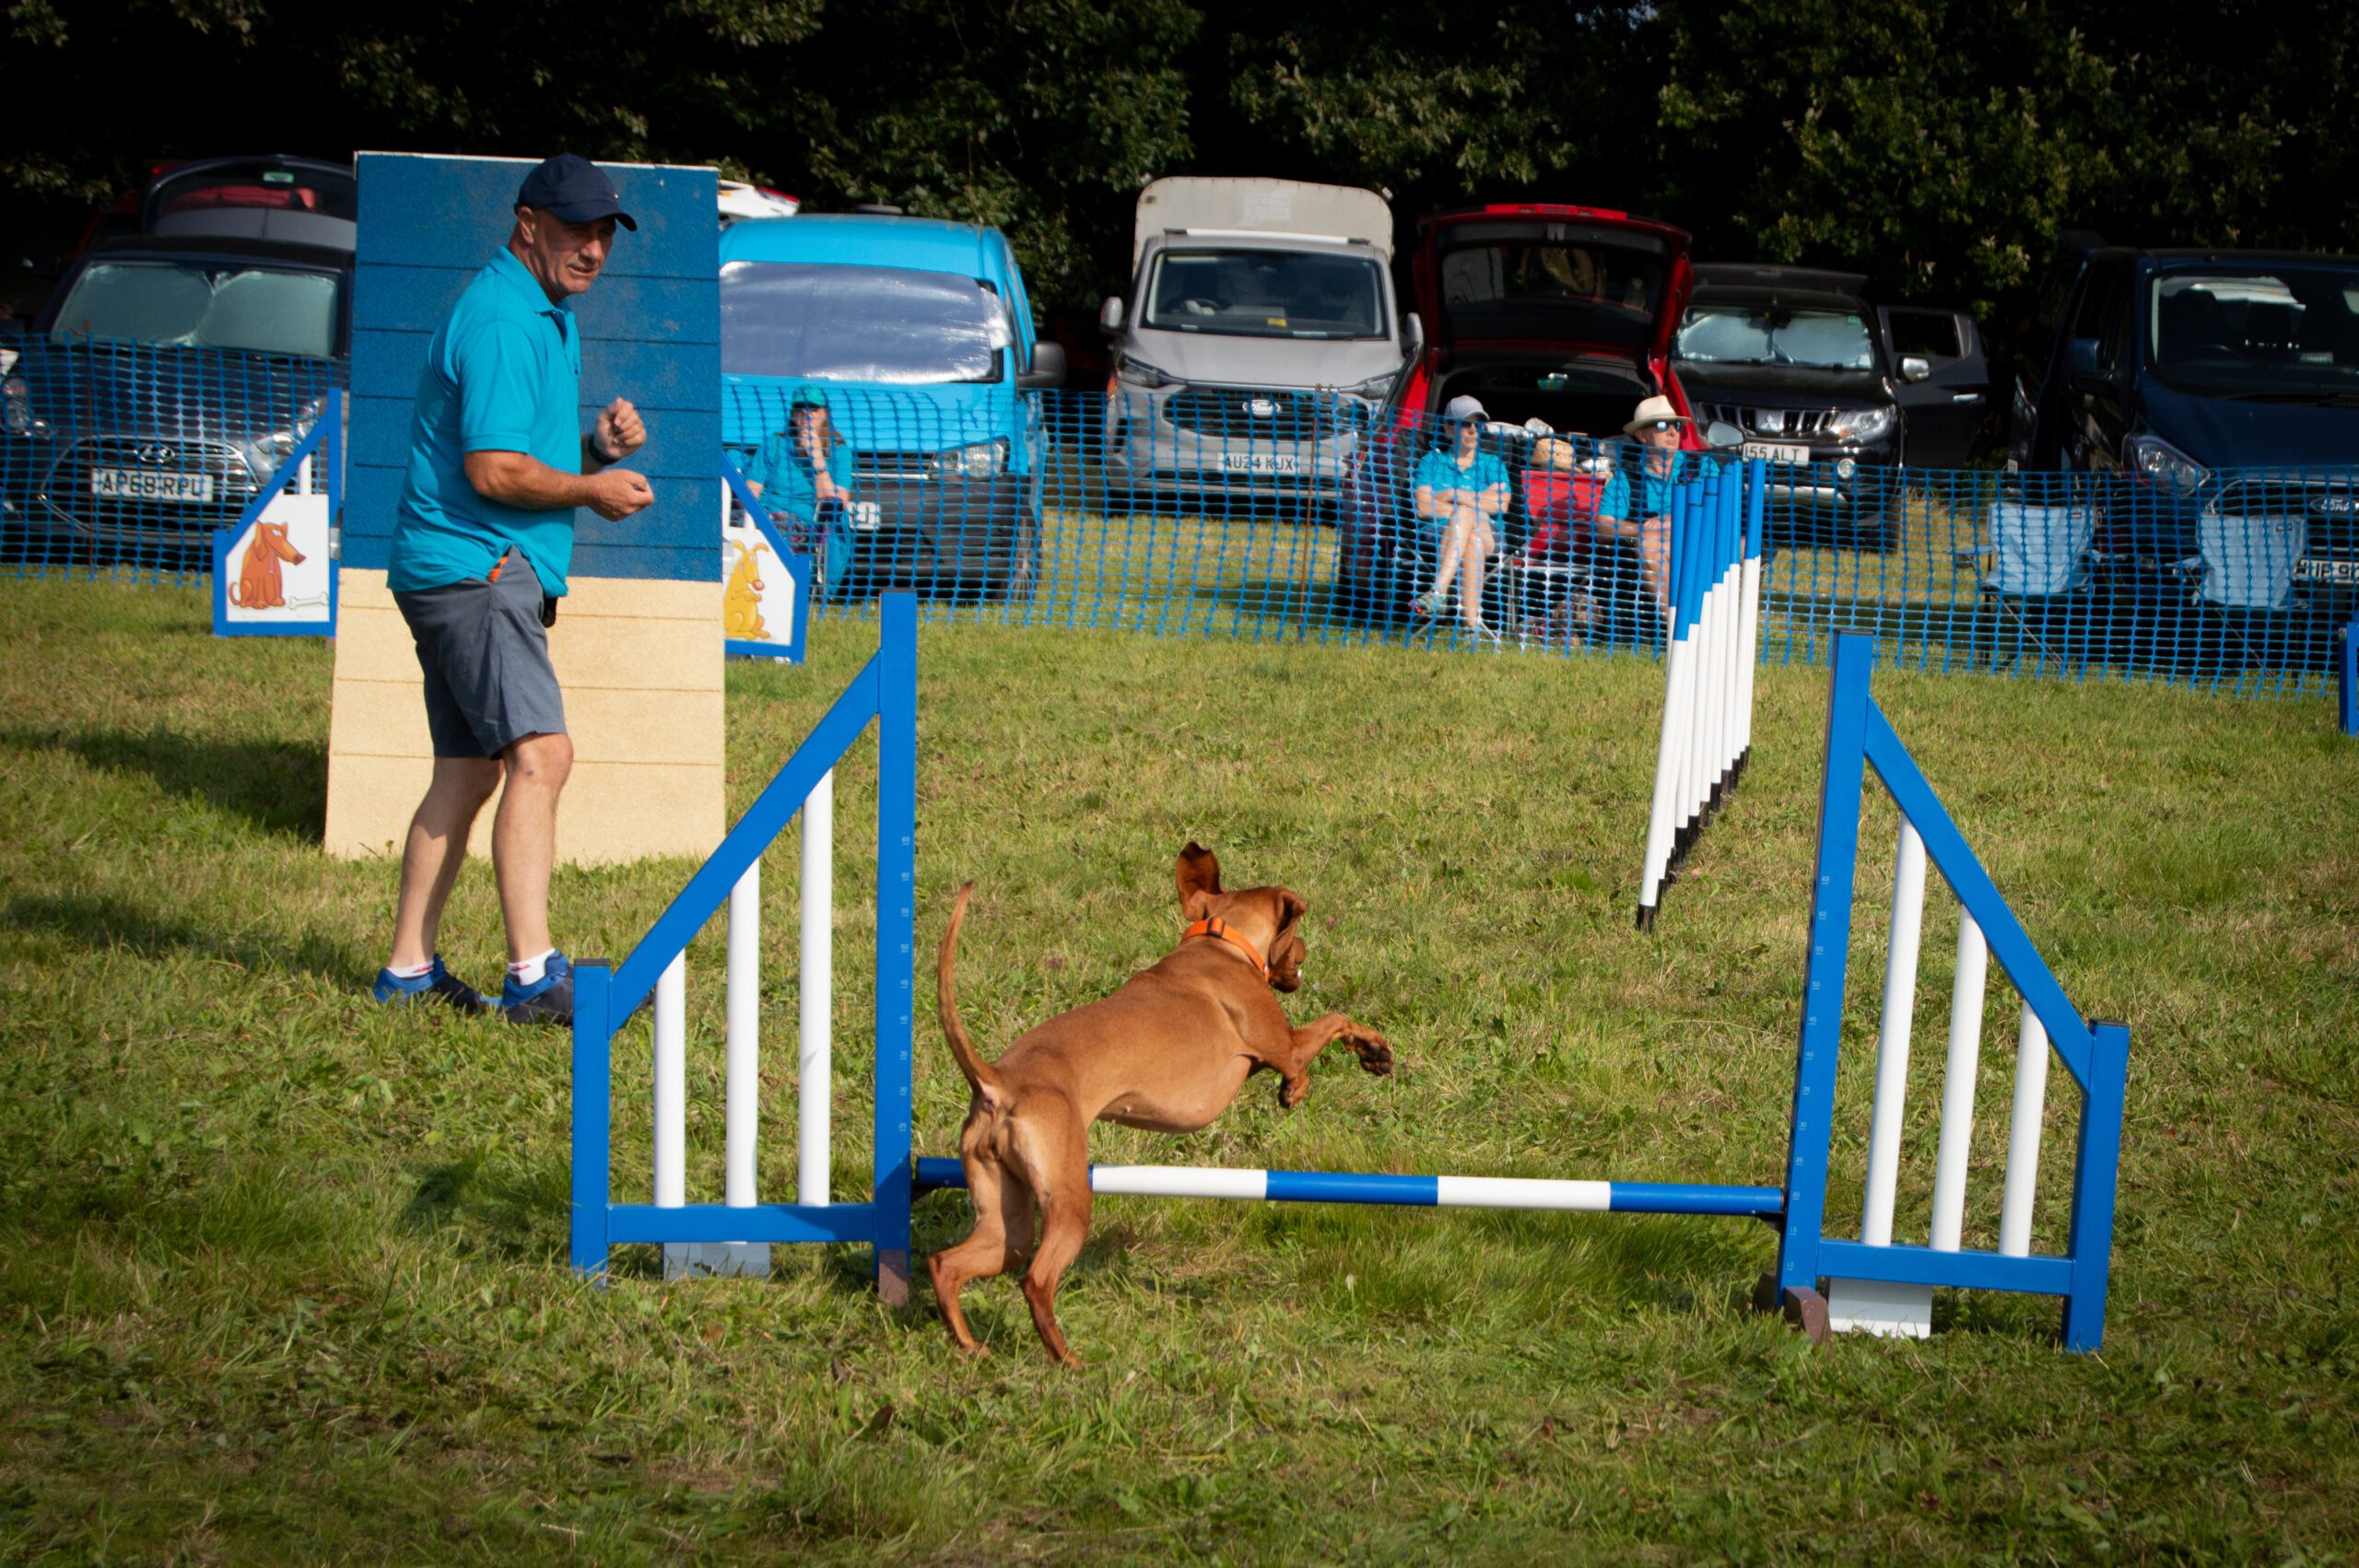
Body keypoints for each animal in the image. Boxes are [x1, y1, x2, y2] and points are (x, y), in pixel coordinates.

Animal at [929, 839, 1387, 1367]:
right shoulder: (1285, 1044)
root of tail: (999, 1082)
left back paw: (968, 1345)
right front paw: (1348, 1062)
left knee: (946, 1263)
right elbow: (1332, 1022)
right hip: (1069, 1202)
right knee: (1036, 1281)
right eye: (1296, 935)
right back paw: (1068, 1359)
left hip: (1007, 1224)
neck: (1221, 943)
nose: (1307, 953)